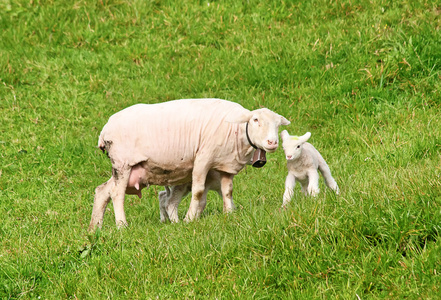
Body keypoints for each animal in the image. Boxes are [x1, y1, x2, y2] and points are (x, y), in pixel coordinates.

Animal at [89, 98, 288, 230]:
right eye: (255, 120)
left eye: (278, 125)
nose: (272, 143)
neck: (236, 129)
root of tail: (104, 130)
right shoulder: (203, 158)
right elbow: (199, 191)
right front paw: (190, 219)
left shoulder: (225, 166)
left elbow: (228, 191)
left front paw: (229, 214)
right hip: (123, 163)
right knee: (116, 194)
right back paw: (122, 225)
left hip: (126, 167)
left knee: (102, 191)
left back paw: (95, 228)